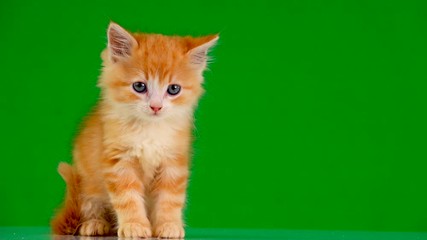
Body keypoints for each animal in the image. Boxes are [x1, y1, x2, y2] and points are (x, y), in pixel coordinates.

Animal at [50, 22, 219, 238]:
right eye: (139, 86)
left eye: (173, 89)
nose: (156, 106)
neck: (148, 130)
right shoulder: (118, 160)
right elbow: (127, 197)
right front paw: (134, 225)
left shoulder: (173, 162)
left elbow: (170, 199)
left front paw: (168, 224)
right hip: (87, 183)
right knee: (90, 204)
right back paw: (95, 224)